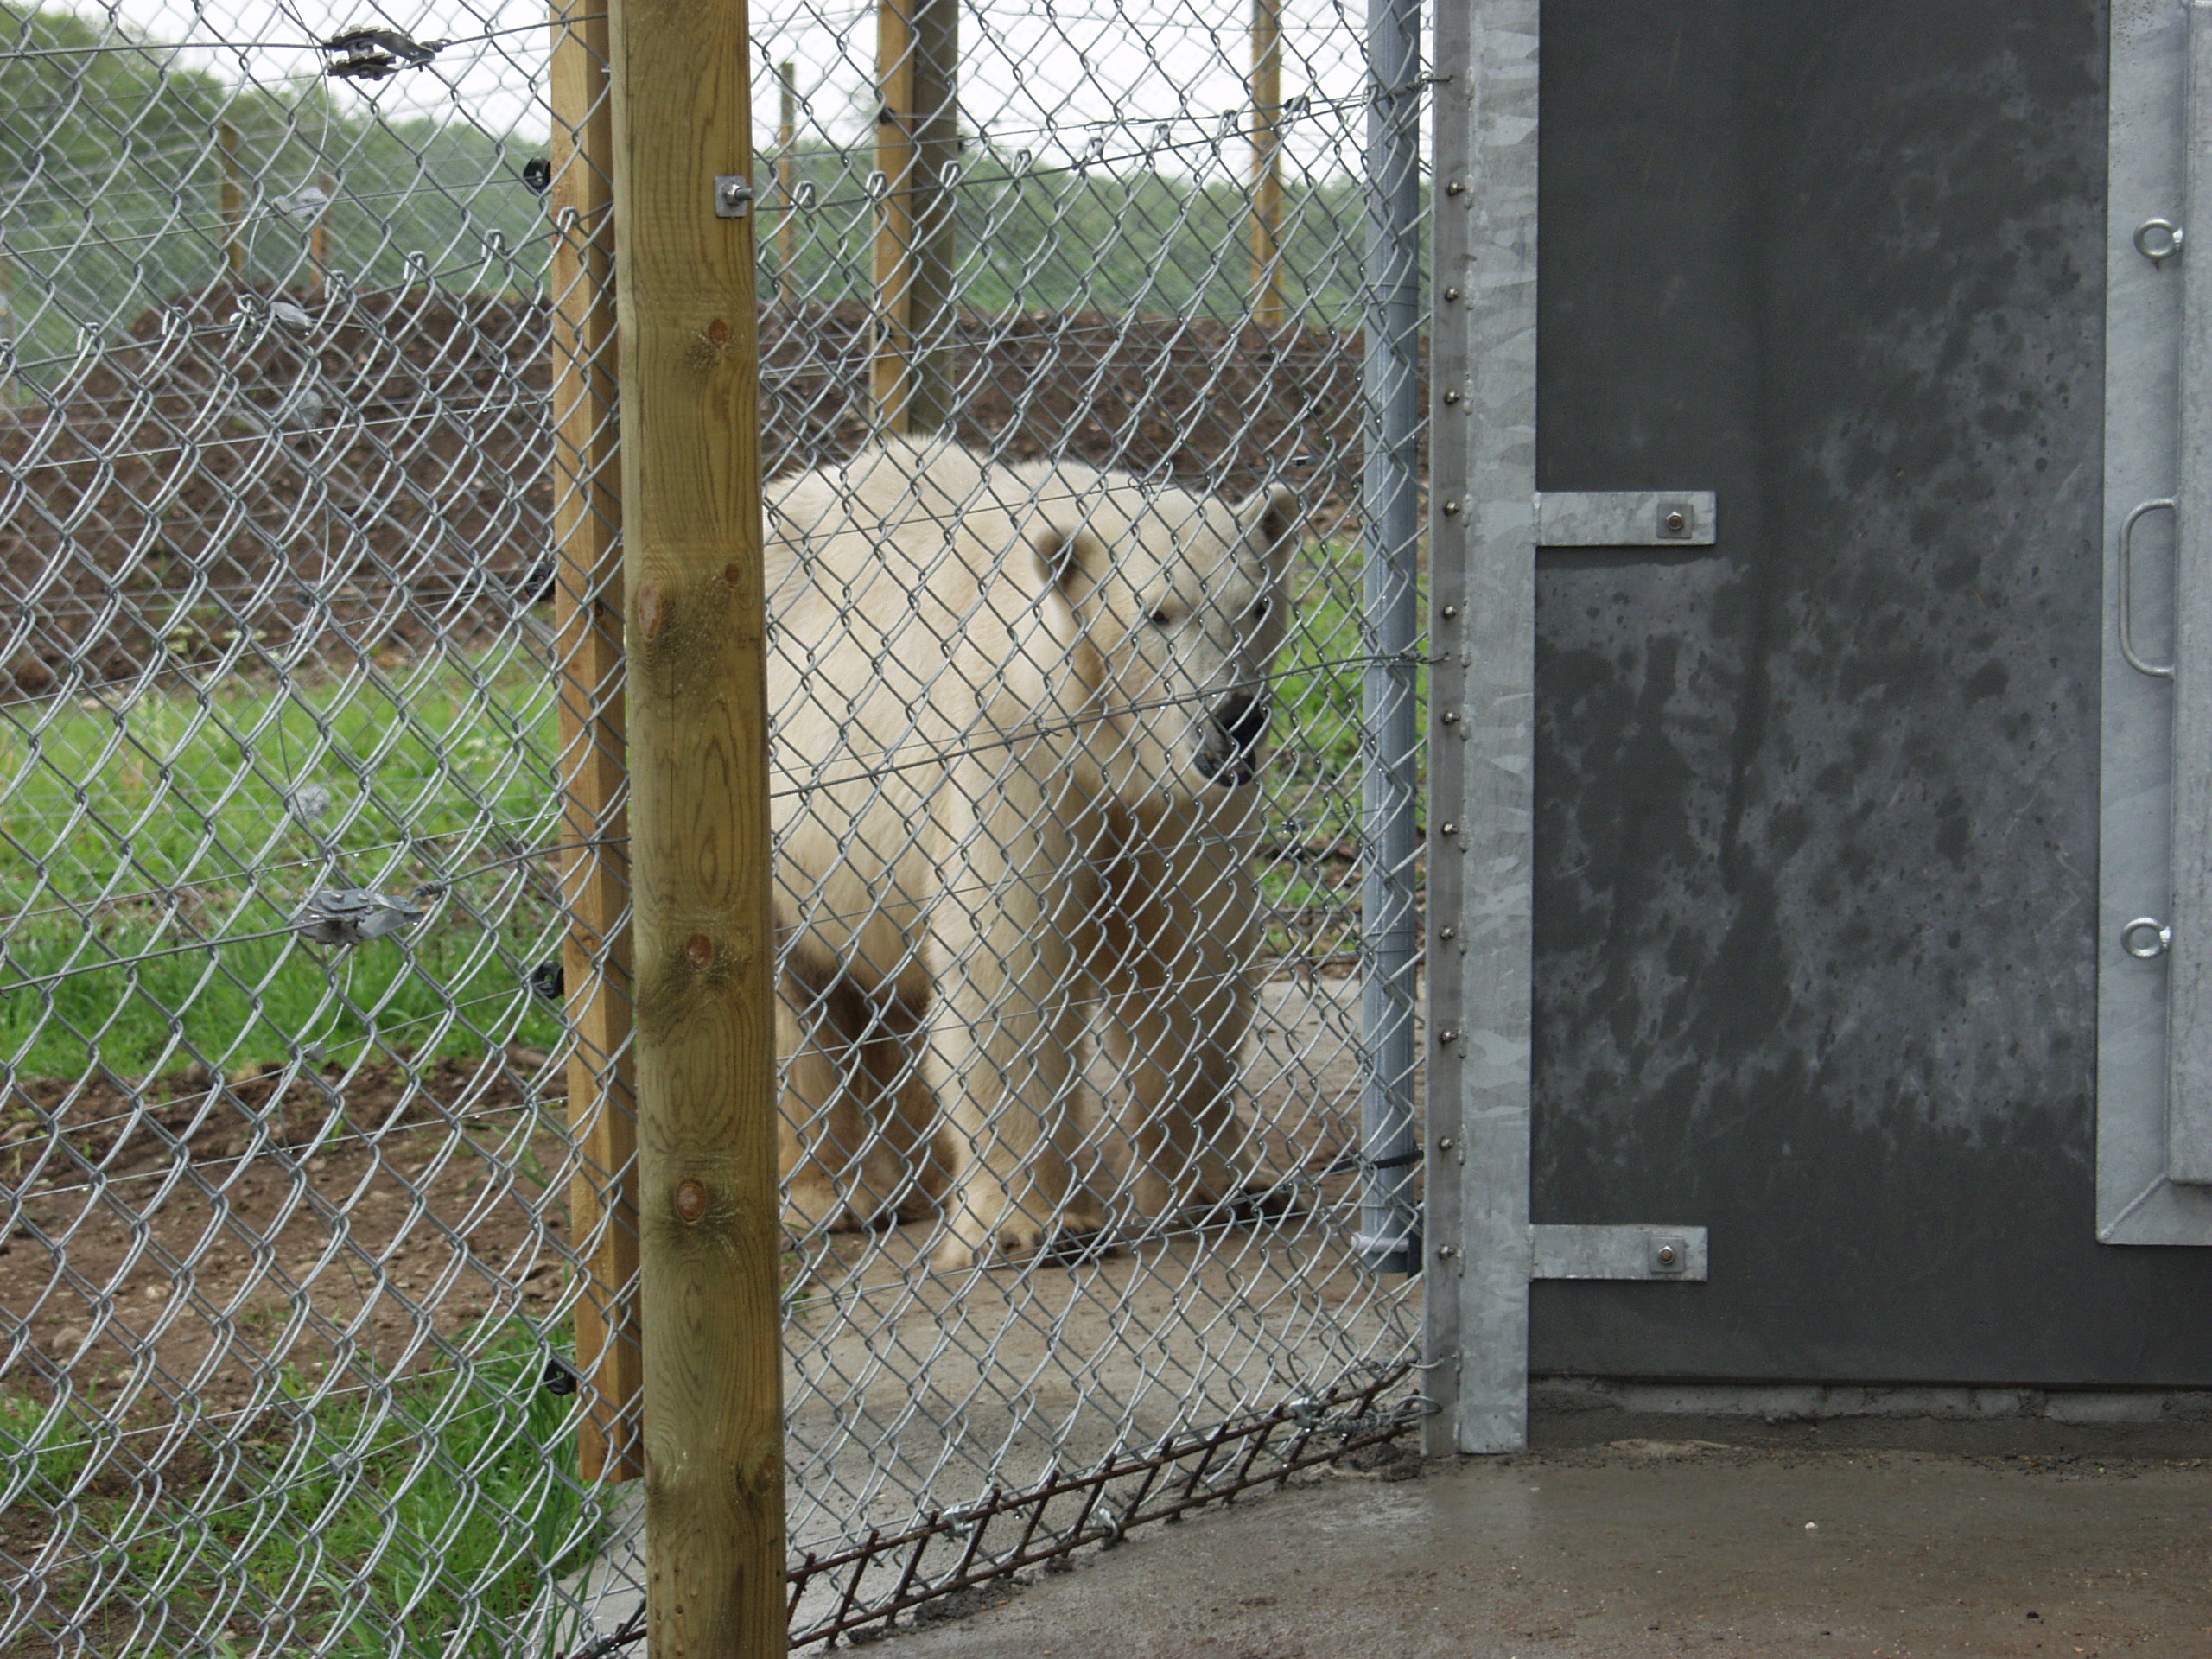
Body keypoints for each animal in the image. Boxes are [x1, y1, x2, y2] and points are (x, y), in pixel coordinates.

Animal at [769, 435, 1300, 1265]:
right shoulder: (1008, 745)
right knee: (795, 1007)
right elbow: (1009, 962)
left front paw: (1230, 1189)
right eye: (1157, 613)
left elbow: (1189, 958)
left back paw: (917, 1179)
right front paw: (1035, 1225)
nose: (1236, 718)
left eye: (1257, 605)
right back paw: (833, 1196)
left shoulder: (1178, 803)